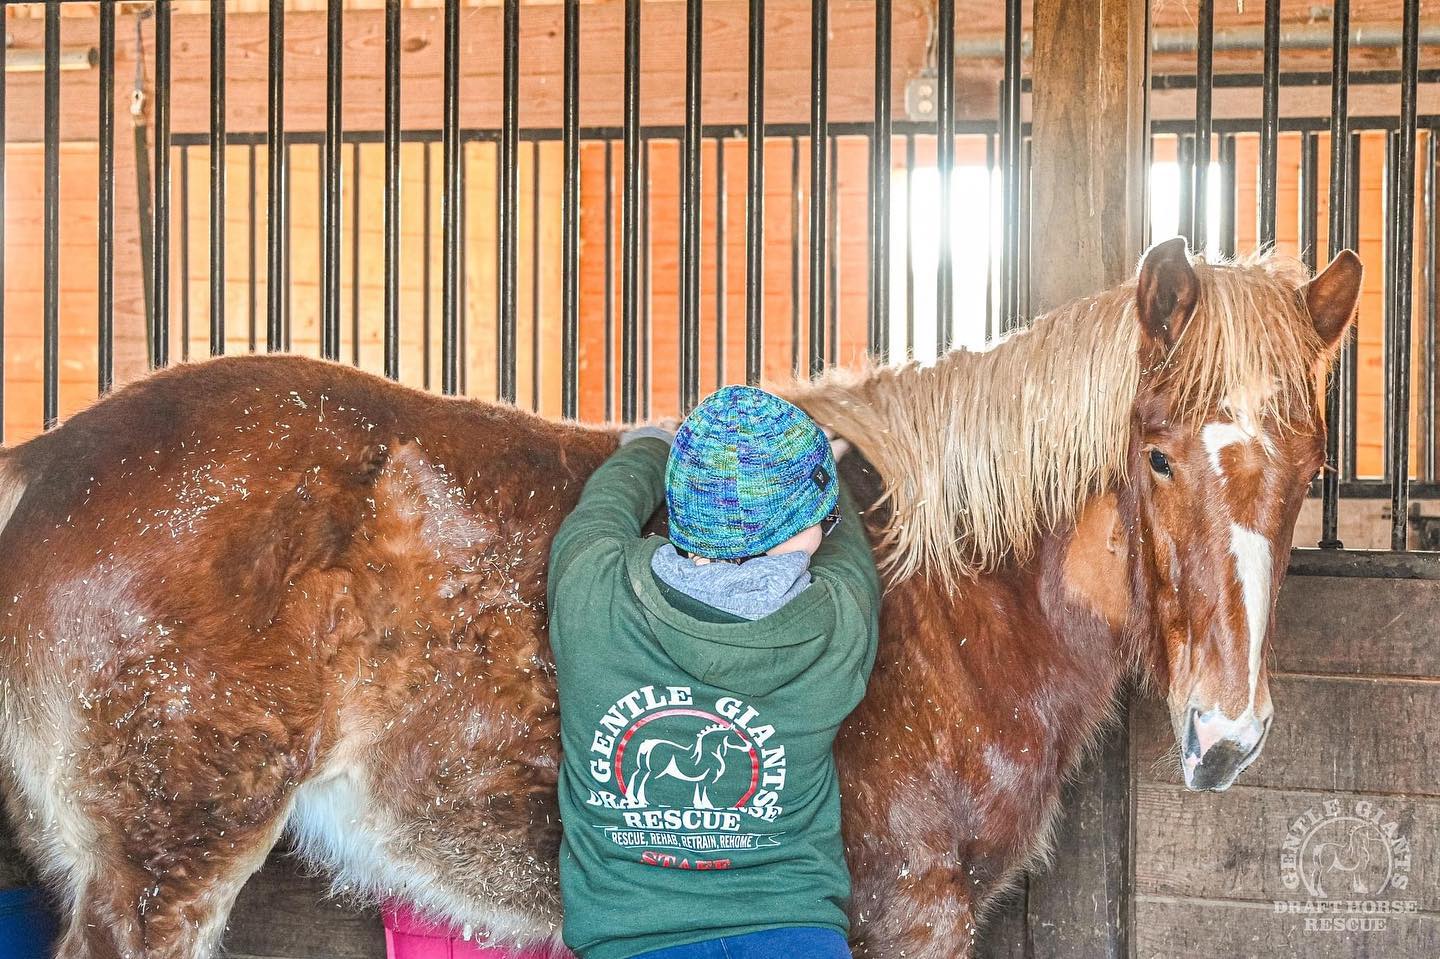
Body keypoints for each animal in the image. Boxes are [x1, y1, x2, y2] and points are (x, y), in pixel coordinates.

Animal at [0, 233, 1359, 956]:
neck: (947, 596)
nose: (1228, 737)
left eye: (1310, 465)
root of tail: (49, 460)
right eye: (1160, 456)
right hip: (166, 863)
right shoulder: (911, 910)